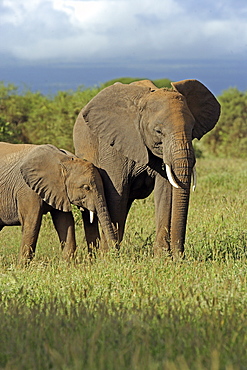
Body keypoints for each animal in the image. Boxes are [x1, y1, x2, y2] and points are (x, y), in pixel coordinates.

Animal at [73, 78, 220, 258]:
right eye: (158, 131)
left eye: (192, 130)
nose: (180, 256)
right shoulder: (113, 145)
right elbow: (116, 194)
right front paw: (110, 256)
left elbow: (165, 192)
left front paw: (162, 258)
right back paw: (95, 255)